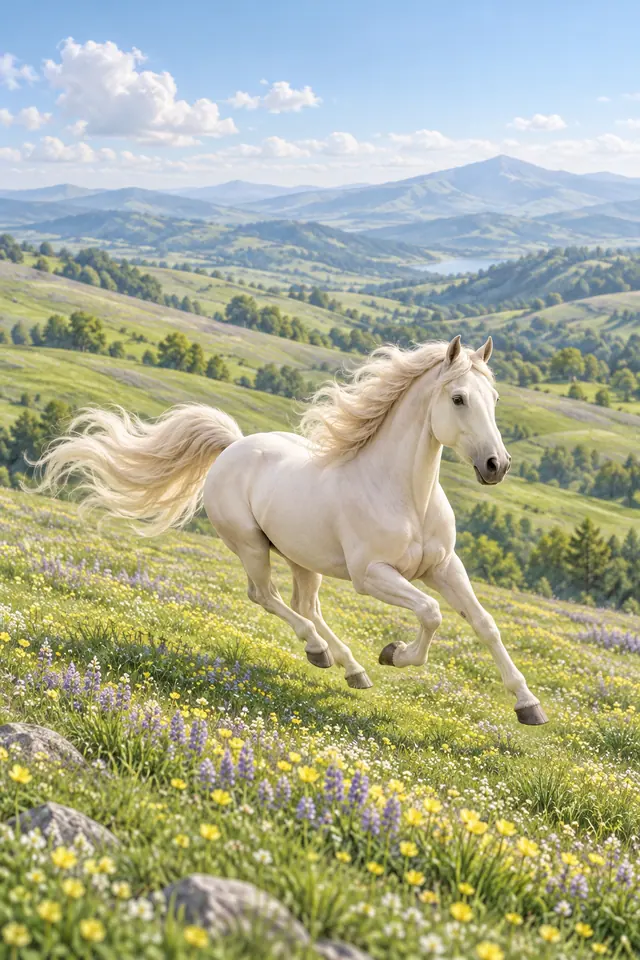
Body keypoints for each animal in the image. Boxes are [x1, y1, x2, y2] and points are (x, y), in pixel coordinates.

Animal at [35, 335, 547, 725]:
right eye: (458, 399)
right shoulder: (372, 576)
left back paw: (352, 669)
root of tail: (233, 446)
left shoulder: (444, 566)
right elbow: (431, 614)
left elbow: (484, 624)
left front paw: (528, 706)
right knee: (267, 597)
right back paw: (321, 652)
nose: (496, 465)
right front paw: (394, 653)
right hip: (251, 546)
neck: (404, 495)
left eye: (494, 400)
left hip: (304, 557)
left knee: (306, 605)